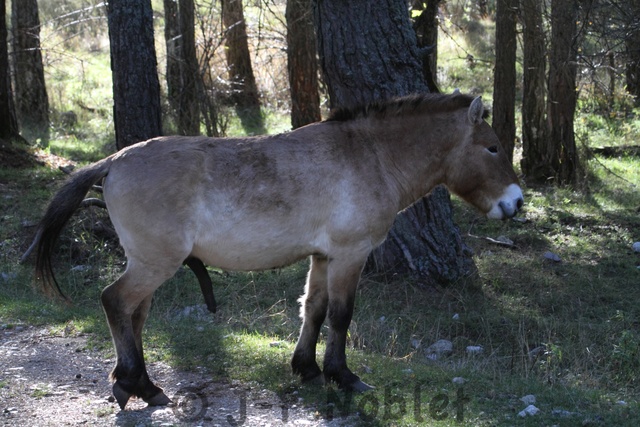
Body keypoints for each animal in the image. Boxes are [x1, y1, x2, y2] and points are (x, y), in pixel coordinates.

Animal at [29, 92, 524, 410]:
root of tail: (113, 162)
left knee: (134, 314)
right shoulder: (350, 254)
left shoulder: (323, 256)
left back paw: (138, 385)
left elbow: (314, 310)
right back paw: (137, 384)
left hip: (148, 263)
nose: (516, 203)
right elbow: (341, 315)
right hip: (154, 263)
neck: (370, 156)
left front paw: (306, 369)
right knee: (115, 301)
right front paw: (343, 376)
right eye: (493, 147)